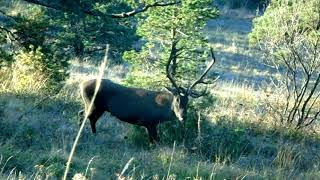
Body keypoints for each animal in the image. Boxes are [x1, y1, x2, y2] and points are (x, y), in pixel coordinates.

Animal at [79, 41, 216, 143]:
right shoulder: (150, 122)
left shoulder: (149, 125)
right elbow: (155, 142)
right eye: (177, 100)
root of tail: (81, 84)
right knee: (84, 116)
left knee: (87, 116)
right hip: (93, 104)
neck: (162, 112)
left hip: (99, 107)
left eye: (188, 101)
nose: (183, 116)